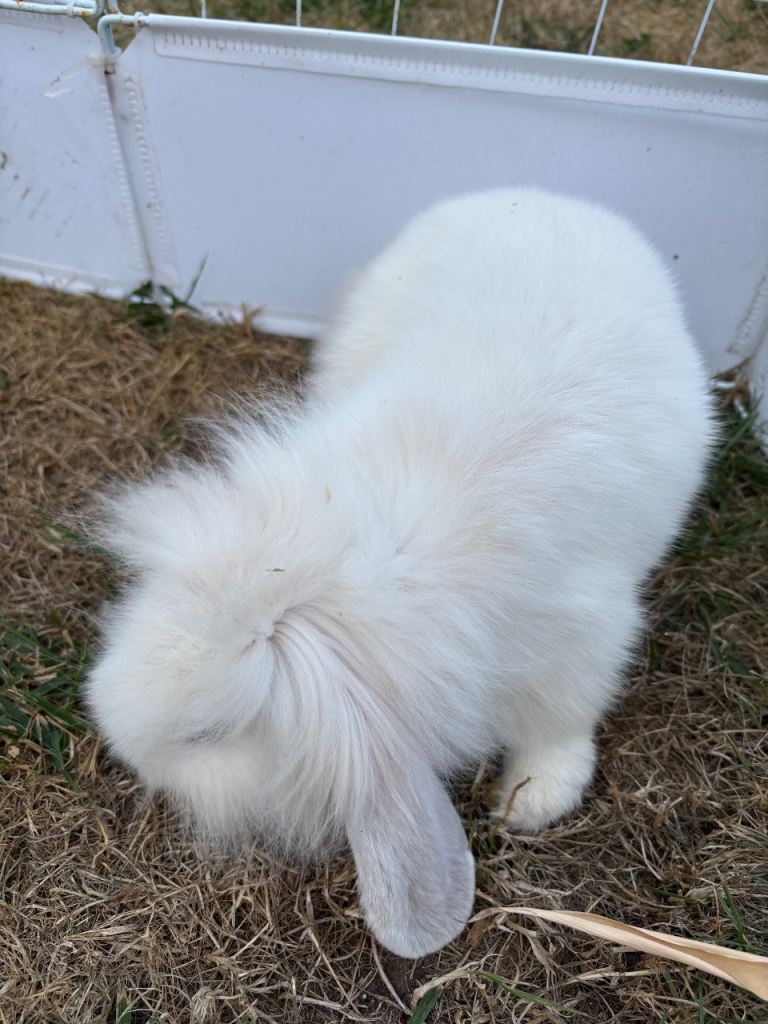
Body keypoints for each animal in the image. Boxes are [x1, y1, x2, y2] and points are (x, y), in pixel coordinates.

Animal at [84, 188, 716, 960]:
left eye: (209, 735)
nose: (116, 742)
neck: (349, 565)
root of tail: (542, 195)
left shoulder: (583, 641)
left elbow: (561, 724)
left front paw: (530, 802)